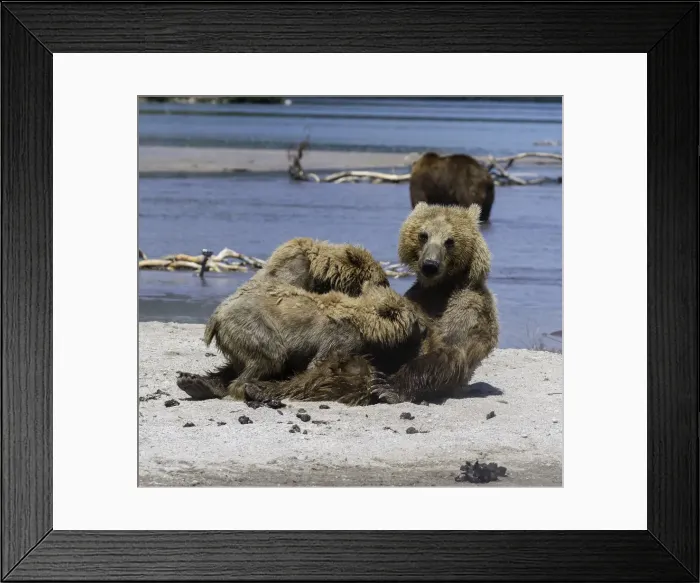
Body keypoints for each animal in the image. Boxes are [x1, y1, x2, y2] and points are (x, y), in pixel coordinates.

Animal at [176, 278, 427, 402]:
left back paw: (198, 384)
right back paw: (244, 388)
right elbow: (319, 365)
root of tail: (216, 315)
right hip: (253, 326)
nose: (426, 327)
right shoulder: (340, 337)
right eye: (416, 320)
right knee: (270, 356)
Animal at [236, 202, 499, 406]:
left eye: (450, 241)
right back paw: (260, 386)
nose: (430, 265)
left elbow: (449, 350)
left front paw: (388, 388)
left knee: (349, 372)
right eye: (423, 235)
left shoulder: (467, 306)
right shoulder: (415, 298)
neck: (439, 289)